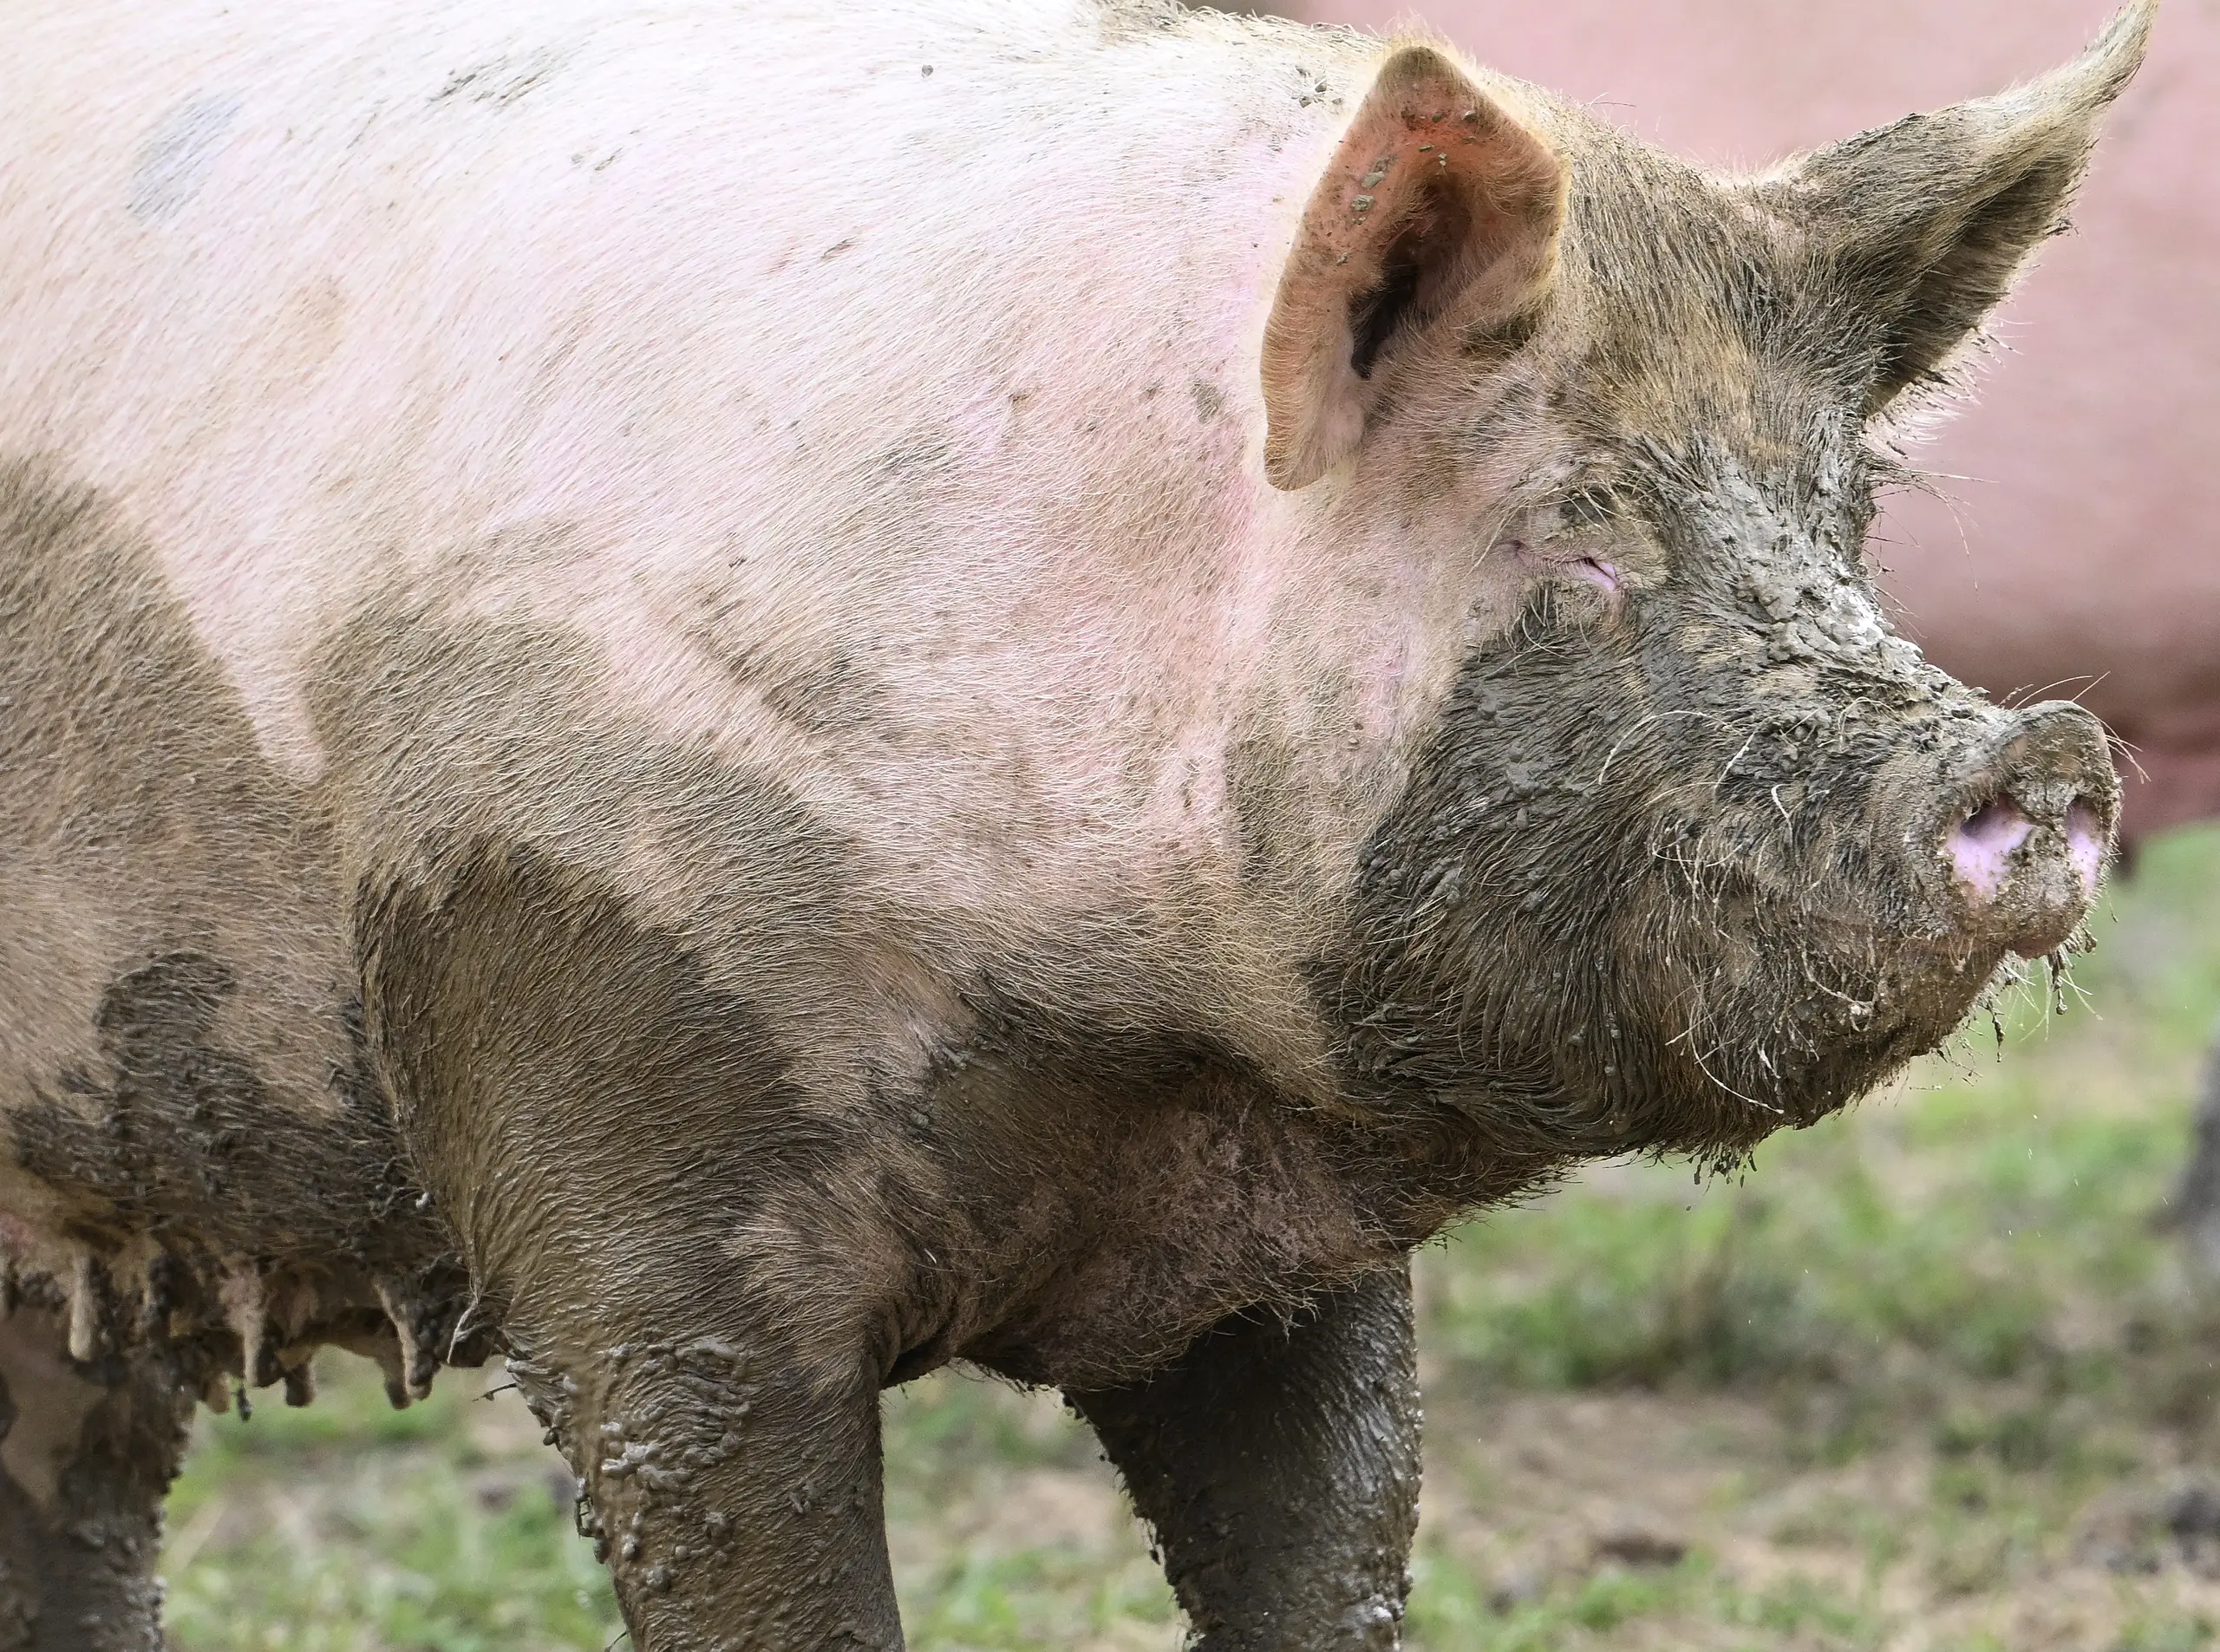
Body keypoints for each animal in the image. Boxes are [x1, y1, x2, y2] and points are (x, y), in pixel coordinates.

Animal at [0, 0, 2149, 1642]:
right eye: (1574, 532)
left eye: (1836, 520)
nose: (2039, 749)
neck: (1132, 1048)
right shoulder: (598, 1088)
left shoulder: (1280, 1249)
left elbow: (1333, 1536)